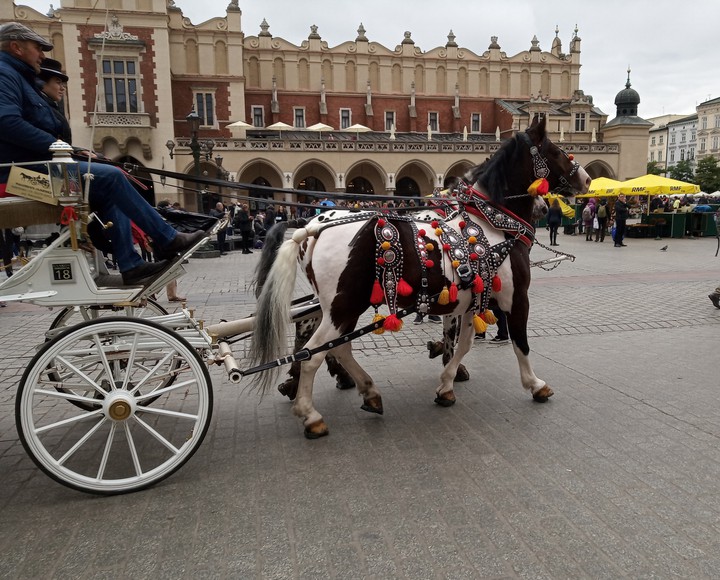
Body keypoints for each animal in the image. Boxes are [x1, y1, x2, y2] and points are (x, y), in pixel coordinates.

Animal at [248, 115, 590, 438]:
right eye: (557, 151)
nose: (586, 179)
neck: (493, 225)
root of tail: (312, 227)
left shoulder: (472, 300)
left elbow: (464, 343)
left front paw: (447, 384)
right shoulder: (516, 298)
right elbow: (521, 342)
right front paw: (535, 384)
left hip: (339, 308)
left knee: (336, 347)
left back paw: (367, 392)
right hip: (342, 306)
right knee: (313, 354)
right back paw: (311, 415)